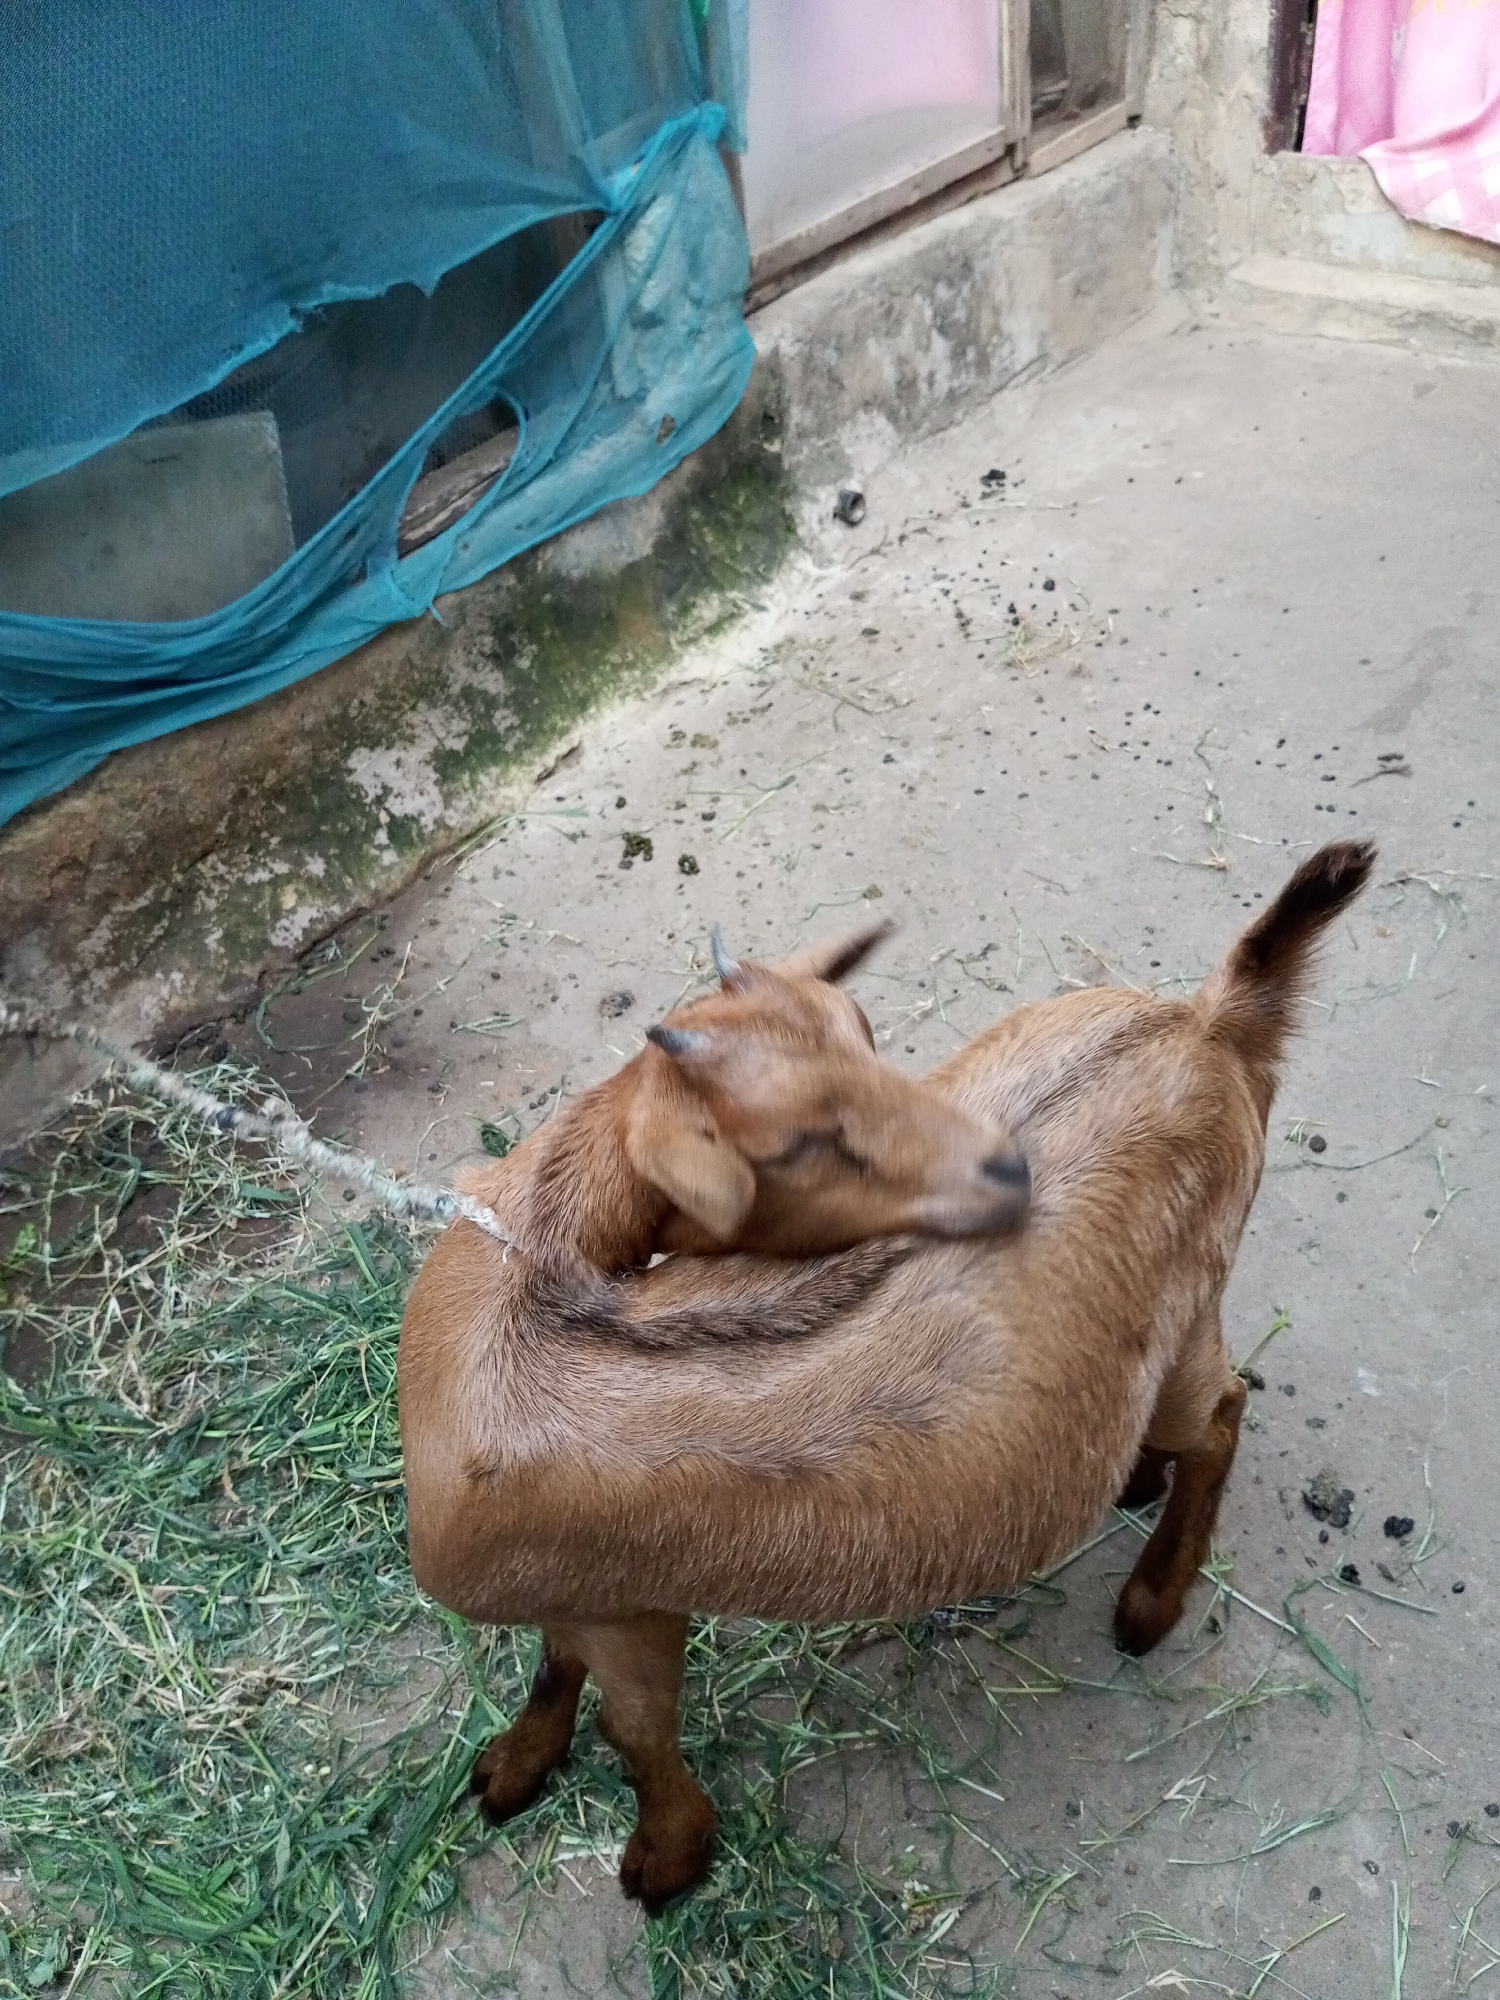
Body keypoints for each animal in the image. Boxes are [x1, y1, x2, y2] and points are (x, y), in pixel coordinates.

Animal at [398, 839, 1374, 1912]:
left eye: (870, 1038)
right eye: (797, 1144)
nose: (1007, 1171)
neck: (522, 1305)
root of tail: (1208, 1019)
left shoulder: (627, 1610)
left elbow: (634, 1729)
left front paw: (665, 1860)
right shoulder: (596, 1597)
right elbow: (554, 1667)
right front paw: (514, 1767)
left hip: (1197, 1300)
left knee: (1224, 1415)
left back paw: (1152, 1603)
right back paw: (1134, 1487)